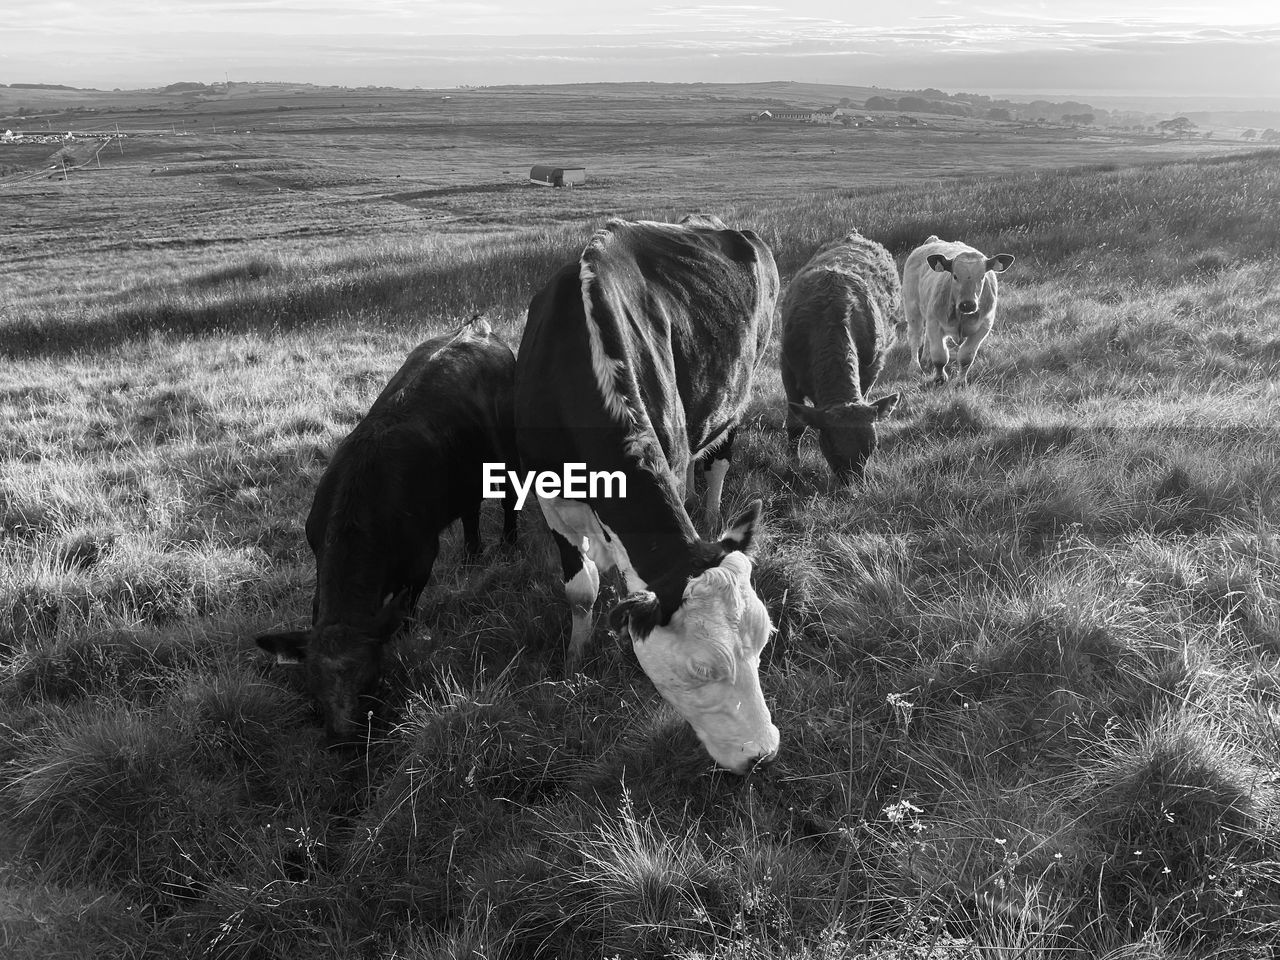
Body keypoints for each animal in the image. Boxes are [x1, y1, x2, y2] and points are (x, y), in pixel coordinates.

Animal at [254, 320, 514, 747]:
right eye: (312, 686)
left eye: (371, 681)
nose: (343, 740)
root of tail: (474, 327)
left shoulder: (421, 561)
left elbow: (405, 614)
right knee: (471, 511)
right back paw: (472, 557)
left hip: (508, 453)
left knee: (509, 500)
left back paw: (508, 546)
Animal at [517, 216, 778, 773]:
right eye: (701, 669)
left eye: (764, 639)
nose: (763, 755)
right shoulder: (550, 499)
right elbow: (582, 591)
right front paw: (574, 660)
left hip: (738, 393)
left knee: (719, 460)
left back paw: (711, 510)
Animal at [778, 226, 901, 481]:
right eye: (829, 445)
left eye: (872, 447)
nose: (850, 484)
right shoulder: (787, 368)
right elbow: (795, 424)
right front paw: (792, 467)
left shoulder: (871, 369)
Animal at [906, 235, 1013, 386]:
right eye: (955, 276)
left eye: (982, 276)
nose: (968, 304)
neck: (962, 315)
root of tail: (934, 240)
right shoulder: (935, 322)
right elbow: (939, 355)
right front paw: (940, 378)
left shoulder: (983, 327)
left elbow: (966, 357)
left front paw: (961, 380)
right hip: (912, 307)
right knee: (915, 337)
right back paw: (914, 366)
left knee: (926, 339)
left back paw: (926, 359)